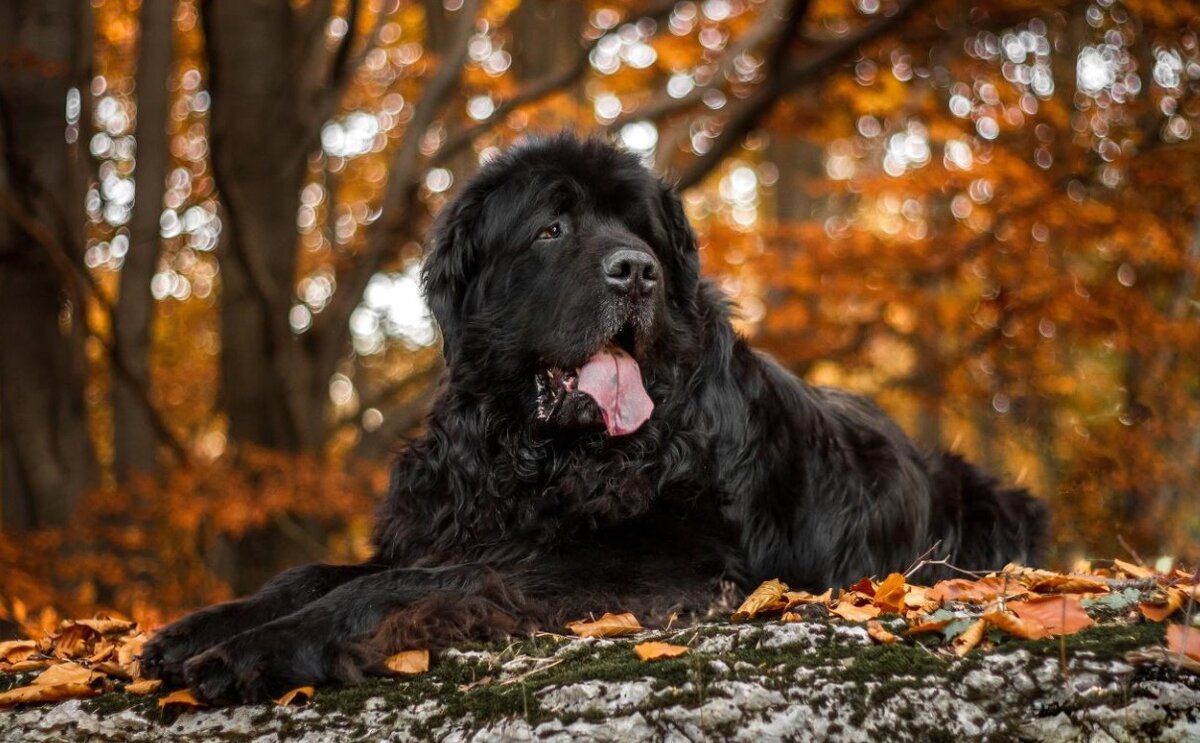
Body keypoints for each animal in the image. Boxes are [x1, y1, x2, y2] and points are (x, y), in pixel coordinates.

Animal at [140, 132, 1046, 705]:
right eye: (551, 227)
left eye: (641, 231)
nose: (636, 271)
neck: (534, 453)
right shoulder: (448, 521)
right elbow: (315, 572)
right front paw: (197, 629)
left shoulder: (651, 561)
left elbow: (414, 582)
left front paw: (255, 650)